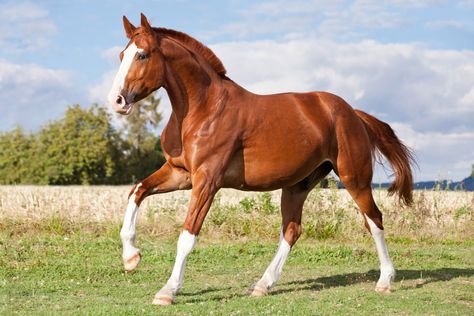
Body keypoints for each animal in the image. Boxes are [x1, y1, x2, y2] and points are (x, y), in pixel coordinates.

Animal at [107, 13, 414, 304]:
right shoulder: (179, 173)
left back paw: (385, 281)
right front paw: (131, 257)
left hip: (354, 179)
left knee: (374, 220)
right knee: (292, 230)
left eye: (142, 54)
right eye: (122, 55)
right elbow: (137, 191)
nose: (117, 101)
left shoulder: (207, 180)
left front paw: (167, 291)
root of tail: (352, 113)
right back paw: (262, 285)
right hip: (297, 185)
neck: (203, 109)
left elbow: (187, 235)